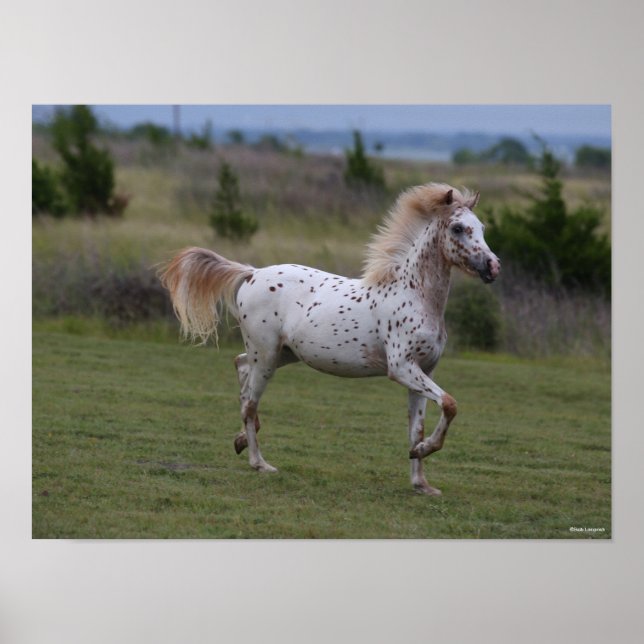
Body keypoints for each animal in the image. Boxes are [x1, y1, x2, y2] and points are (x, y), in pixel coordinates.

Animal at [160, 183, 500, 495]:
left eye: (482, 228)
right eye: (458, 228)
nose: (492, 266)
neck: (414, 295)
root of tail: (252, 273)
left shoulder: (424, 371)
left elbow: (417, 427)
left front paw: (421, 481)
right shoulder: (402, 368)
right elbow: (450, 404)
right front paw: (422, 456)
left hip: (282, 354)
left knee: (241, 370)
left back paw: (241, 440)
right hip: (266, 356)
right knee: (250, 403)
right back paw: (260, 463)